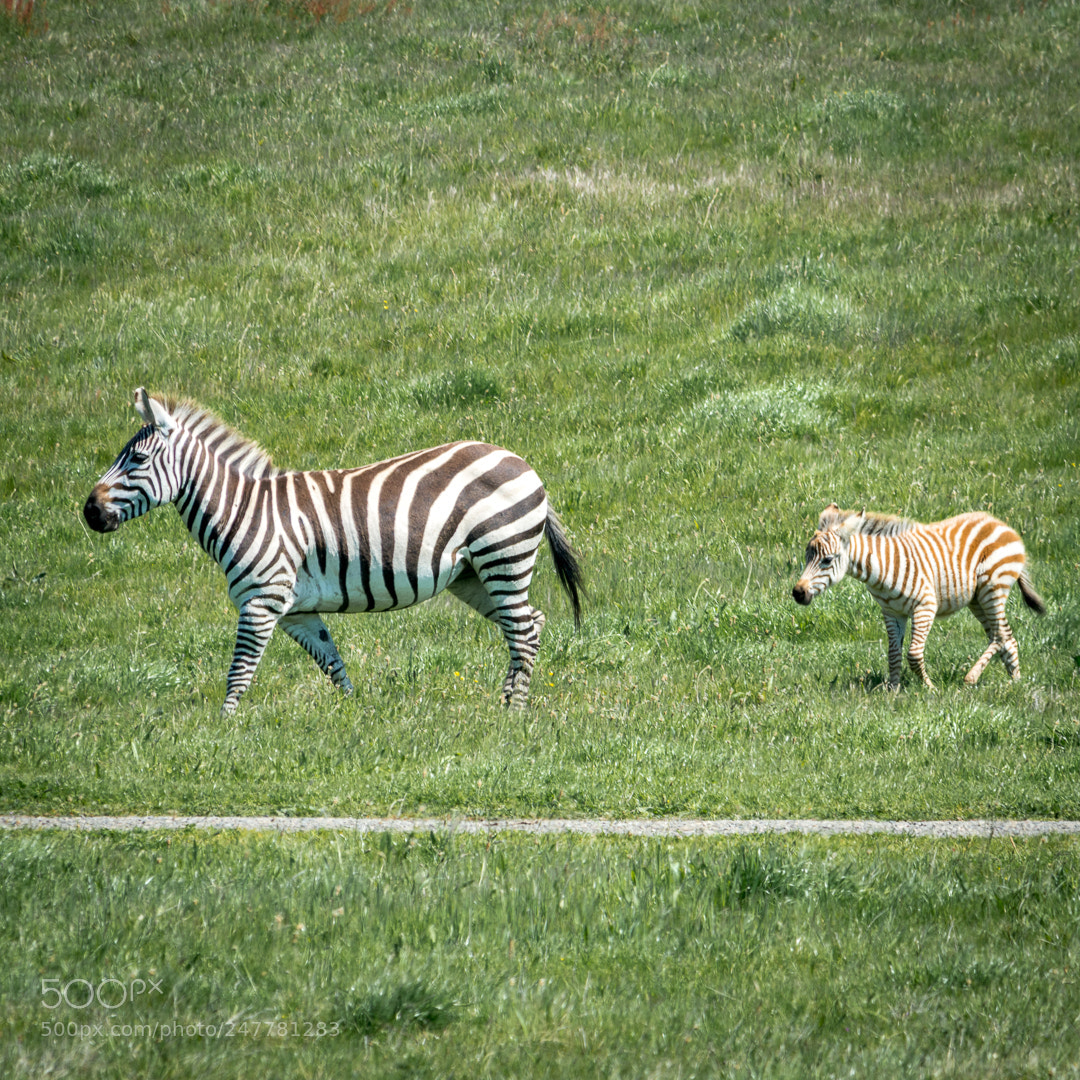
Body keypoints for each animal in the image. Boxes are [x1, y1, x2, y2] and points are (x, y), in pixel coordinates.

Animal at [83, 388, 583, 714]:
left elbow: (239, 671)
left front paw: (223, 730)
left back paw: (513, 714)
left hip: (502, 555)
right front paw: (354, 714)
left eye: (138, 460)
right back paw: (507, 701)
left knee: (523, 630)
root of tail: (522, 462)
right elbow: (331, 662)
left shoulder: (261, 602)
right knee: (530, 623)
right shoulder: (296, 611)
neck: (243, 511)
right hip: (472, 575)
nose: (89, 512)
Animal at [792, 503, 1045, 689]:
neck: (882, 567)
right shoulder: (892, 612)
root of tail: (1002, 524)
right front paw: (893, 691)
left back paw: (972, 678)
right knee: (1005, 637)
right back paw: (1015, 682)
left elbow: (913, 654)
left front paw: (929, 688)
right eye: (806, 556)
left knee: (1000, 635)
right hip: (976, 599)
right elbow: (894, 653)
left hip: (992, 588)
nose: (797, 593)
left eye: (827, 560)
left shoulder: (925, 606)